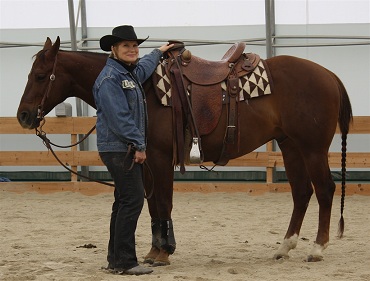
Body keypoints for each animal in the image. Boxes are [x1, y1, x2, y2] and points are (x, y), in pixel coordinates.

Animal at [17, 36, 352, 262]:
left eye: (39, 75)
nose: (23, 116)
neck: (143, 87)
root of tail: (329, 75)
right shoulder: (146, 162)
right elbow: (153, 206)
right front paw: (155, 250)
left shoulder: (160, 158)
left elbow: (163, 203)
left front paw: (163, 252)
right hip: (291, 146)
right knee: (302, 192)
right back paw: (284, 247)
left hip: (312, 149)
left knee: (324, 190)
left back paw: (317, 248)